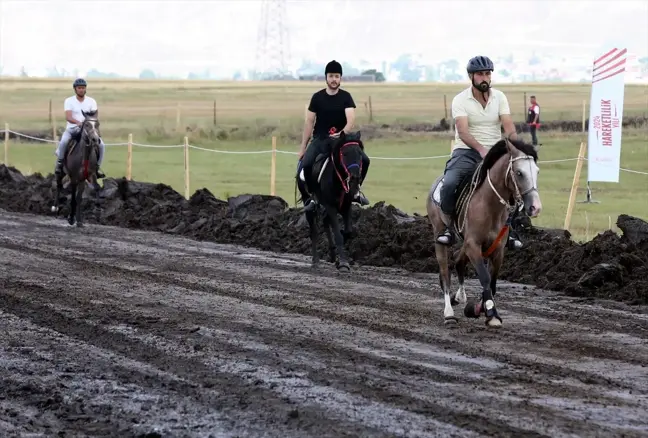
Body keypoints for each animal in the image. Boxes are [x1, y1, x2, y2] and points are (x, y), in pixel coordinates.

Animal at [298, 132, 368, 272]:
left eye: (359, 153)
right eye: (344, 153)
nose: (355, 177)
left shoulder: (346, 206)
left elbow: (347, 232)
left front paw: (339, 259)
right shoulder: (330, 206)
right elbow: (338, 235)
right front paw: (343, 263)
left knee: (325, 222)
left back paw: (332, 255)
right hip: (308, 202)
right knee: (314, 230)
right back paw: (316, 261)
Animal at [428, 139, 540, 326]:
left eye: (537, 171)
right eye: (519, 172)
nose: (535, 207)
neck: (489, 205)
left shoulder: (497, 249)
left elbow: (493, 282)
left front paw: (479, 308)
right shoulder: (473, 245)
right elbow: (485, 278)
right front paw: (491, 312)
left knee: (458, 260)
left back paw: (459, 297)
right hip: (440, 235)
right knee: (445, 273)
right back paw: (449, 313)